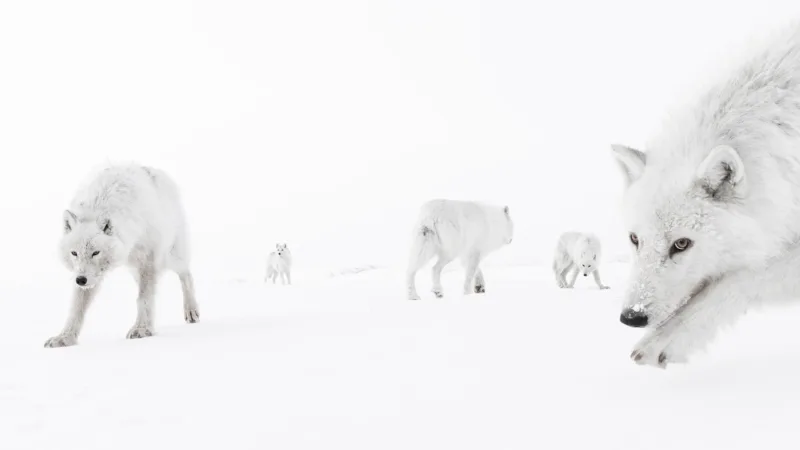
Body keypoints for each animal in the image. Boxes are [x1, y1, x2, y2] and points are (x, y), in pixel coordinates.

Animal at [44, 164, 199, 348]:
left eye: (95, 252)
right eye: (74, 253)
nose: (80, 280)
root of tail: (154, 170)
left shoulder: (148, 261)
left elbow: (143, 299)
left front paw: (142, 329)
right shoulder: (89, 276)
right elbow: (76, 308)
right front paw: (65, 337)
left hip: (169, 257)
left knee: (186, 274)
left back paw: (191, 311)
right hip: (136, 269)